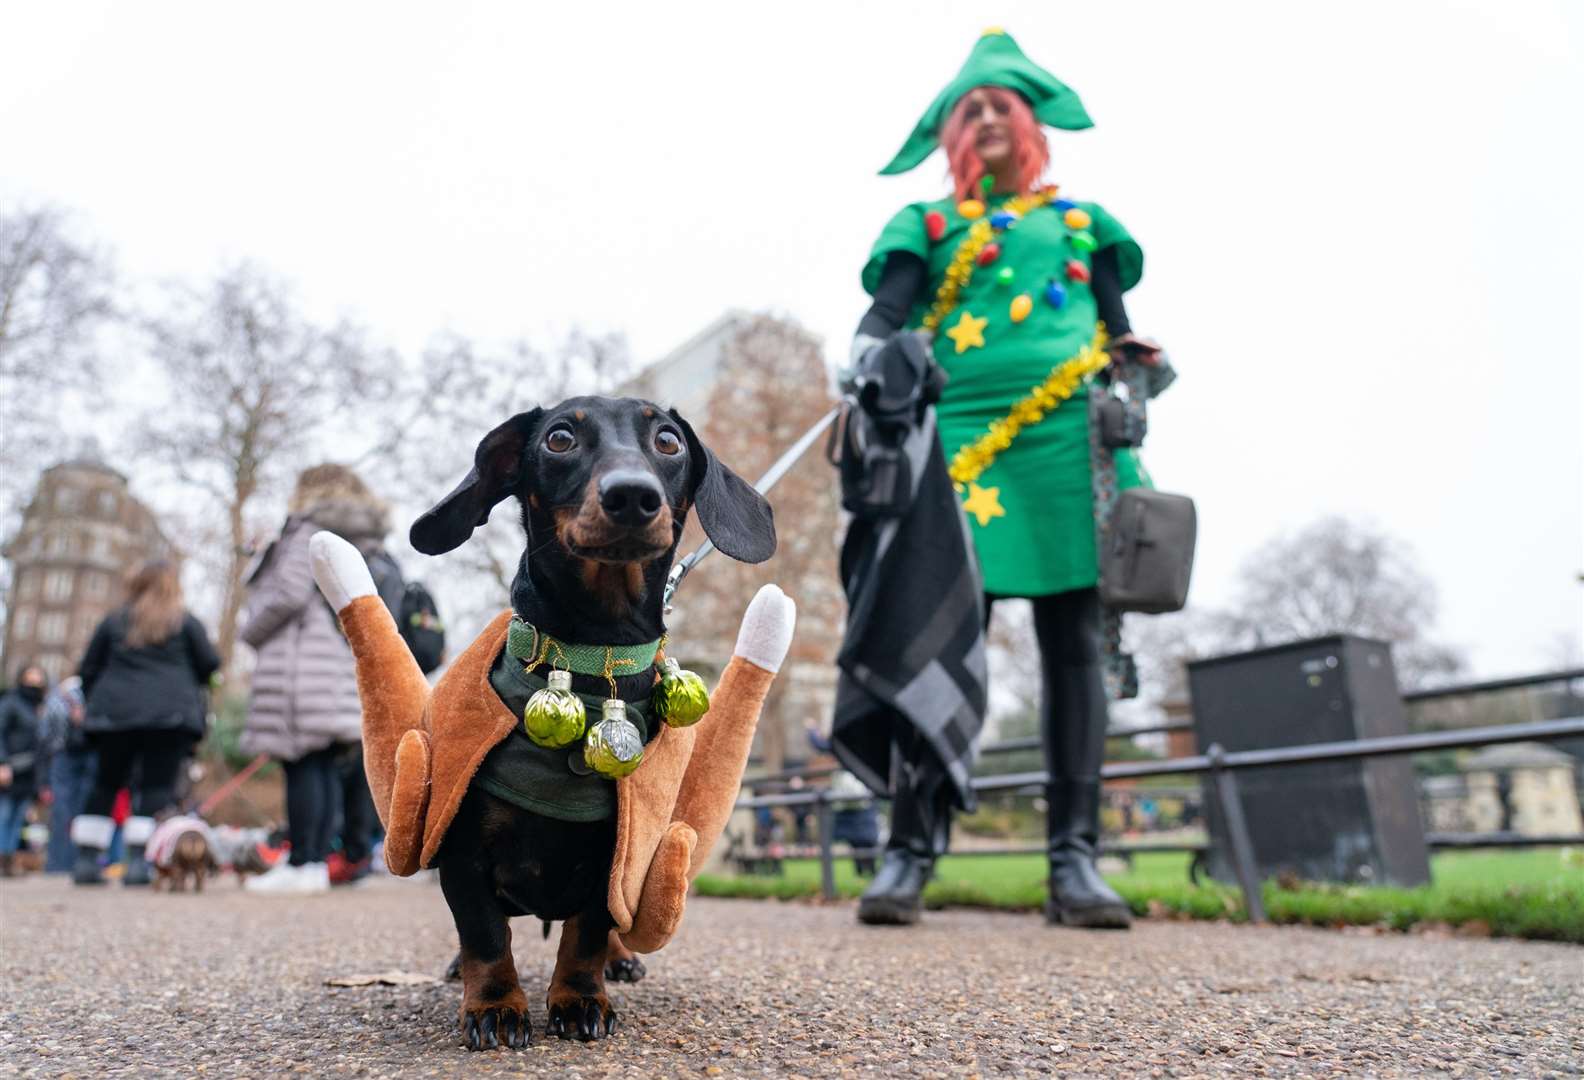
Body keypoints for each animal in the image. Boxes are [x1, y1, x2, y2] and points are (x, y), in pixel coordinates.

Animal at [408, 395, 779, 1045]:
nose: (632, 496)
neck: (590, 657)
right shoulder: (463, 852)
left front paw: (580, 999)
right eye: (559, 438)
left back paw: (620, 961)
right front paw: (495, 1006)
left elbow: (586, 934)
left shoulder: (619, 852)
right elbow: (484, 934)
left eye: (668, 440)